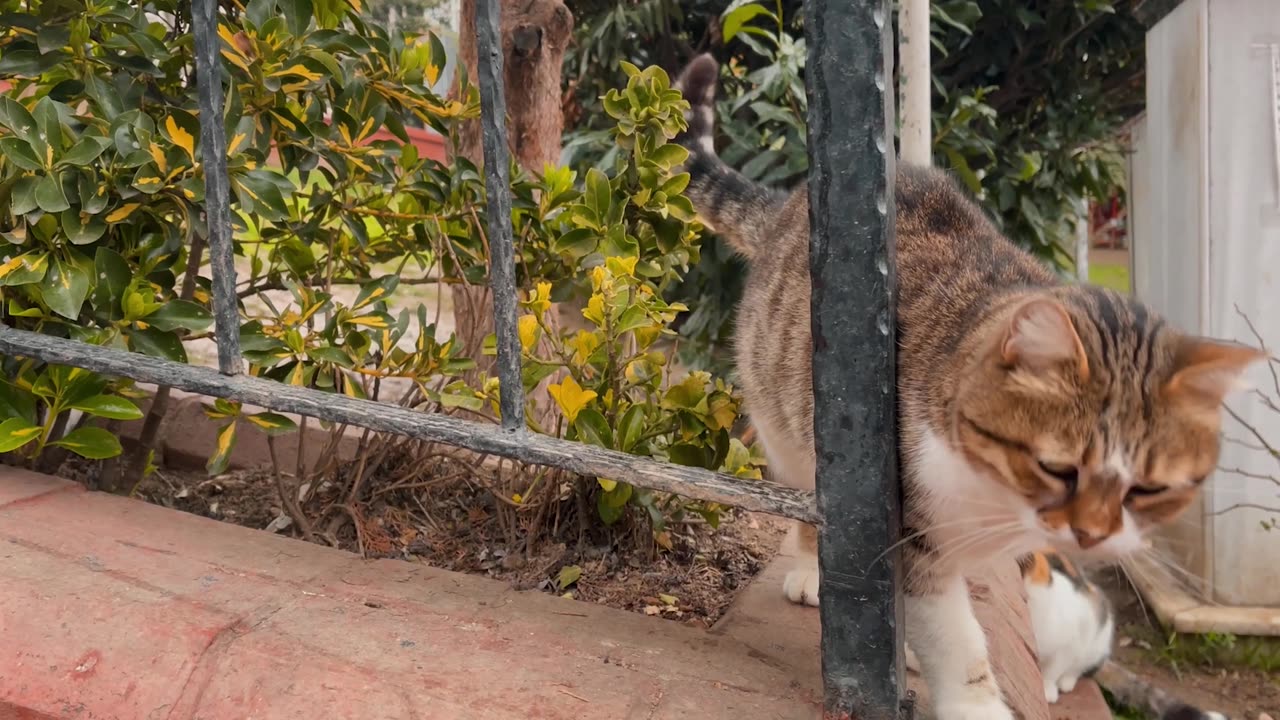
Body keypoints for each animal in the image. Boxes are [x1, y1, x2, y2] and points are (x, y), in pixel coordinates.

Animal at [675, 54, 1264, 717]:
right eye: (1057, 468)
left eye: (1149, 489)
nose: (1090, 534)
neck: (996, 500)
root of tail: (788, 205)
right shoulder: (906, 528)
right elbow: (956, 639)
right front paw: (972, 699)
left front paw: (912, 651)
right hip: (787, 417)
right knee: (805, 490)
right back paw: (808, 570)